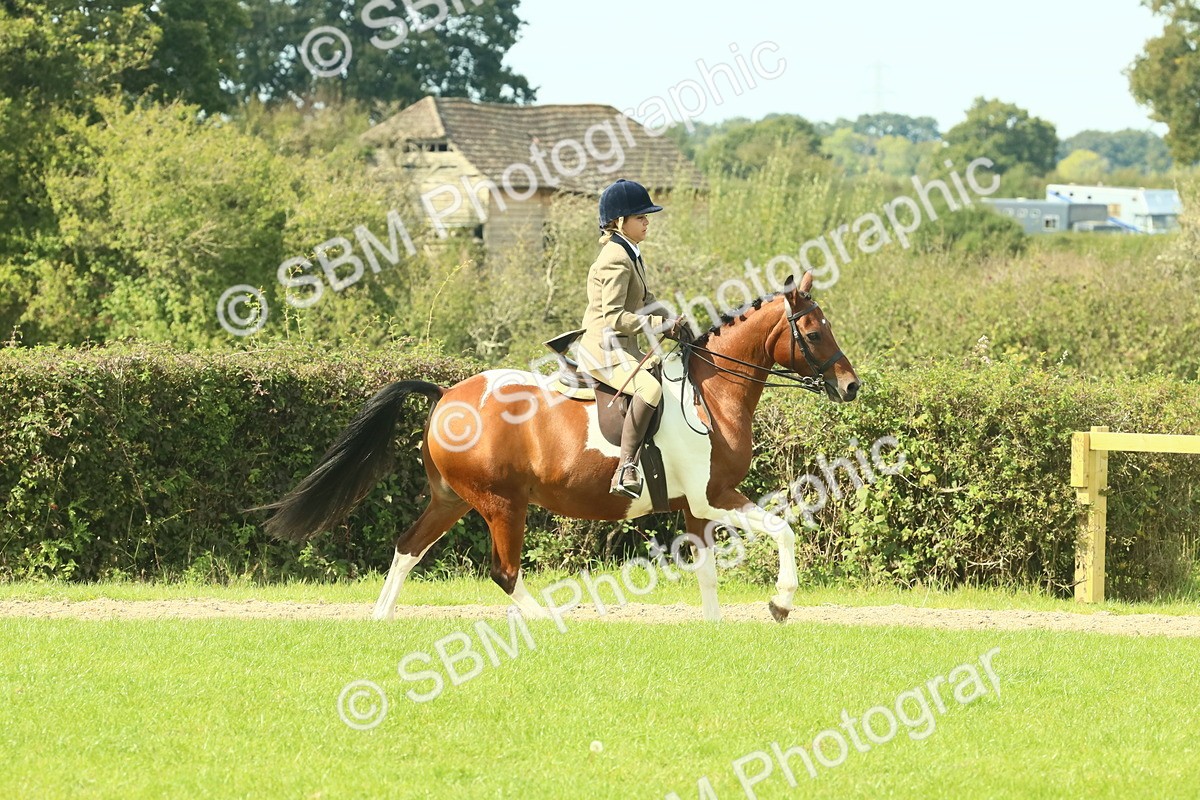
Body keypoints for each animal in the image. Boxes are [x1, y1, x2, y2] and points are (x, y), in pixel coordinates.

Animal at [260, 271, 859, 622]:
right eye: (813, 330)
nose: (851, 386)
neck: (711, 394)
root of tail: (447, 393)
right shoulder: (713, 495)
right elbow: (782, 529)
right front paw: (780, 603)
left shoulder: (696, 506)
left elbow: (708, 570)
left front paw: (714, 630)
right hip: (503, 504)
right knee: (503, 572)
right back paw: (553, 624)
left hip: (450, 499)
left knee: (408, 547)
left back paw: (380, 619)